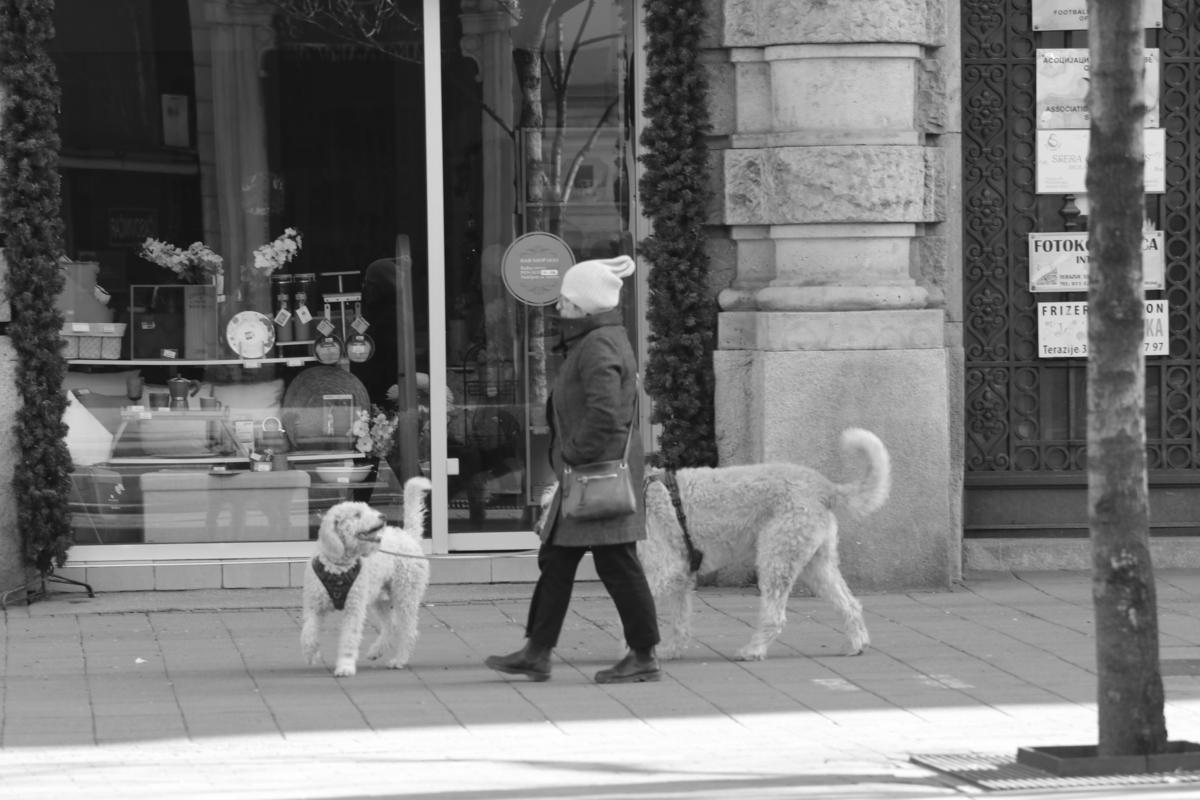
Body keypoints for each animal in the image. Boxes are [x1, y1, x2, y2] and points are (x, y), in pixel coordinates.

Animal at [300, 477, 432, 677]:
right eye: (357, 515)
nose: (383, 516)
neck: (338, 567)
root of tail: (408, 536)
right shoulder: (314, 604)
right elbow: (308, 632)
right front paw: (310, 654)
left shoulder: (353, 608)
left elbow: (349, 639)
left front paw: (345, 667)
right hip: (380, 597)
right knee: (391, 624)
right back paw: (377, 650)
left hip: (406, 595)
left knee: (409, 631)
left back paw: (399, 660)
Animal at [638, 428, 890, 661]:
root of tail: (824, 486)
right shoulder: (680, 577)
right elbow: (679, 621)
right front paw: (671, 651)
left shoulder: (665, 570)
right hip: (816, 564)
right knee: (849, 604)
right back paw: (855, 645)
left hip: (777, 559)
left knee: (775, 617)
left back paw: (753, 650)